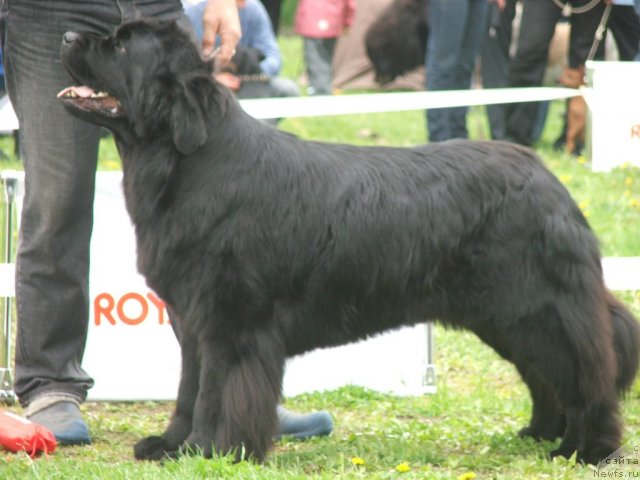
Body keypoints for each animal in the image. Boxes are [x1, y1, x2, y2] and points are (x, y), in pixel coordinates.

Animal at [57, 19, 636, 464]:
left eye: (121, 46)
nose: (66, 34)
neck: (184, 165)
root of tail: (550, 180)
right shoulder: (191, 321)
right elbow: (187, 388)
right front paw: (170, 445)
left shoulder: (230, 319)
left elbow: (215, 393)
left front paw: (210, 450)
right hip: (504, 315)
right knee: (546, 374)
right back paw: (542, 433)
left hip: (537, 307)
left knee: (586, 372)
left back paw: (587, 448)